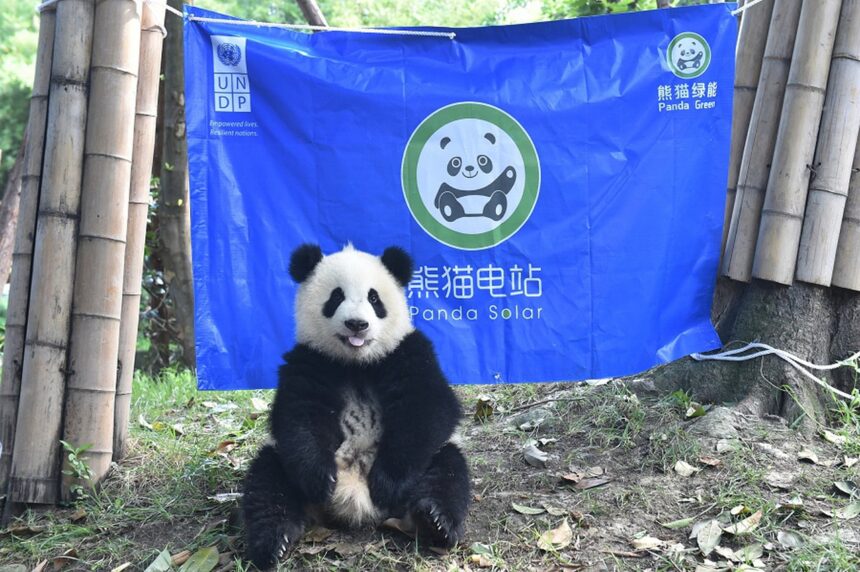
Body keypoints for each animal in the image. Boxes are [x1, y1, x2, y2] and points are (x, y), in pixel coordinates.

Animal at [242, 243, 470, 570]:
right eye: (336, 297)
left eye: (374, 298)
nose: (357, 324)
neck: (356, 362)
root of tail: (354, 502)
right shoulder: (310, 359)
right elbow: (299, 418)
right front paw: (319, 478)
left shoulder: (407, 351)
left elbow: (428, 408)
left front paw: (388, 482)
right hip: (282, 465)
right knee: (268, 483)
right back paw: (273, 542)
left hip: (433, 464)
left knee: (447, 472)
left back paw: (435, 522)